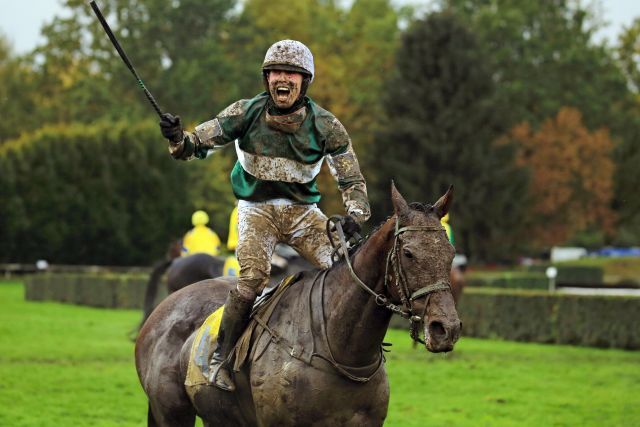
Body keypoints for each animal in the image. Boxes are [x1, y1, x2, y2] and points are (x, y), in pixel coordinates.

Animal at [138, 185, 462, 427]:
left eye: (450, 252)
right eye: (408, 253)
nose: (446, 328)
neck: (342, 347)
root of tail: (163, 309)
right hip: (171, 414)